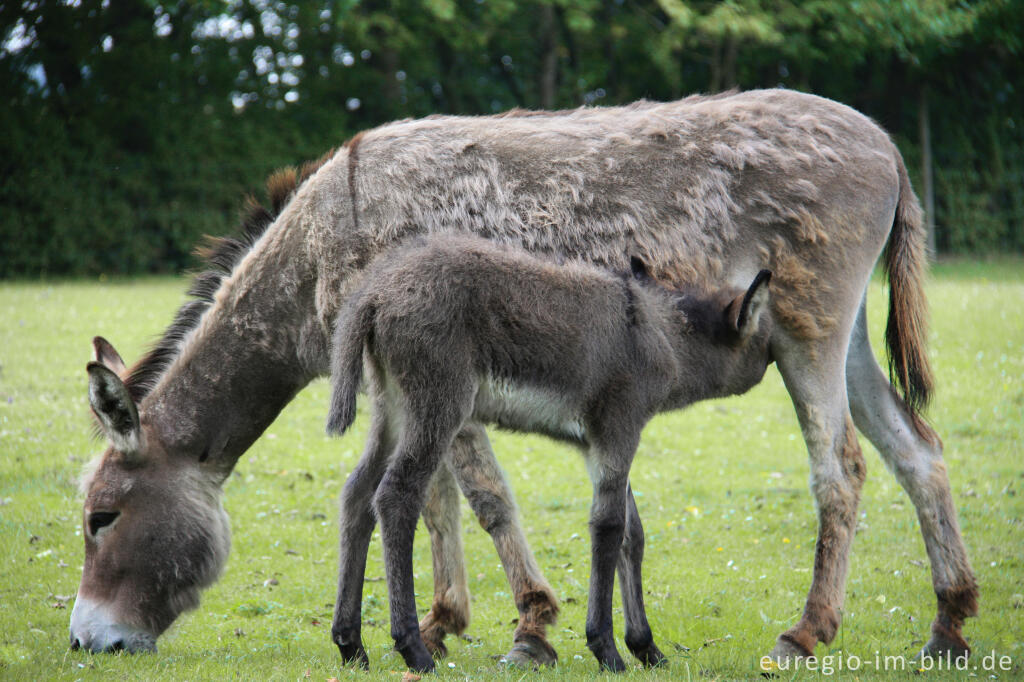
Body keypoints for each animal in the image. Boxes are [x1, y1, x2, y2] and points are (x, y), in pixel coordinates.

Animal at [331, 233, 770, 667]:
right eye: (764, 337)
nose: (774, 362)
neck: (659, 332)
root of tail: (375, 293)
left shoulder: (599, 448)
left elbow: (633, 535)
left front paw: (647, 648)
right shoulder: (619, 431)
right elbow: (609, 528)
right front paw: (608, 649)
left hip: (392, 410)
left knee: (357, 495)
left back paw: (351, 644)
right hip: (437, 408)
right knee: (395, 497)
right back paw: (413, 649)